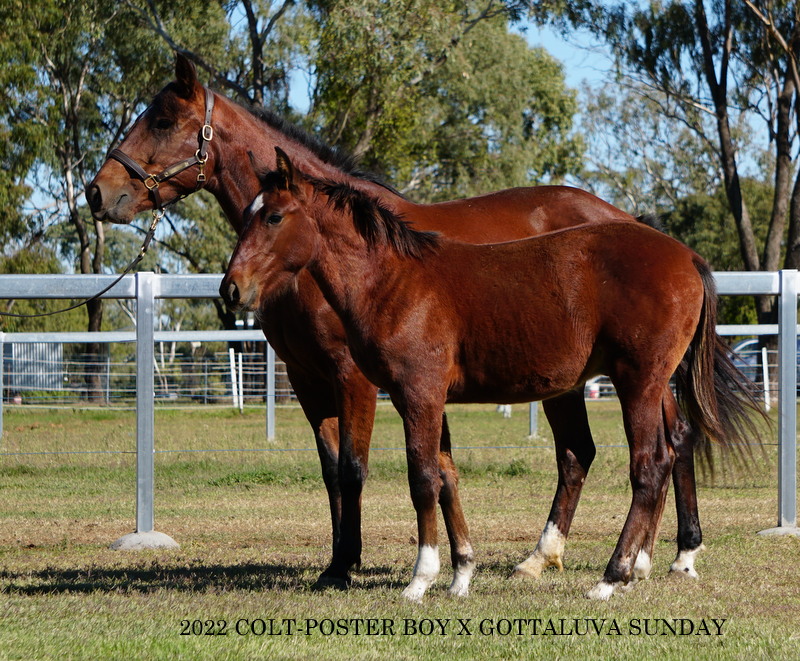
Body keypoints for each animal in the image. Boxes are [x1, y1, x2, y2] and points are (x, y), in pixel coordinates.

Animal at [87, 54, 756, 589]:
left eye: (162, 121)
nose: (98, 193)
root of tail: (669, 244)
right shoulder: (311, 380)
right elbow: (356, 471)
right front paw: (377, 563)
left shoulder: (356, 378)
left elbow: (361, 469)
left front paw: (353, 566)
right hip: (598, 379)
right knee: (618, 449)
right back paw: (596, 557)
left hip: (632, 378)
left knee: (653, 452)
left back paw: (641, 563)